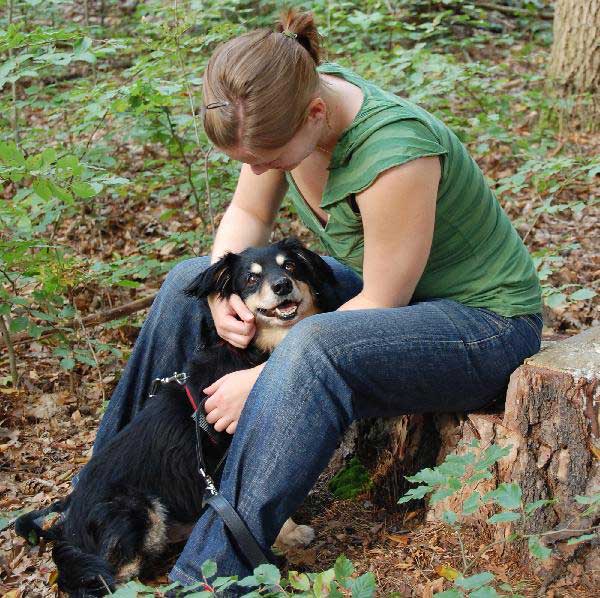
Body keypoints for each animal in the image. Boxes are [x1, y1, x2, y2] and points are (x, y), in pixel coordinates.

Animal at [15, 239, 342, 598]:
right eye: (251, 279)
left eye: (290, 266)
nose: (282, 285)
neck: (257, 352)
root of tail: (67, 528)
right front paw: (291, 534)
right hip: (137, 508)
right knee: (113, 578)